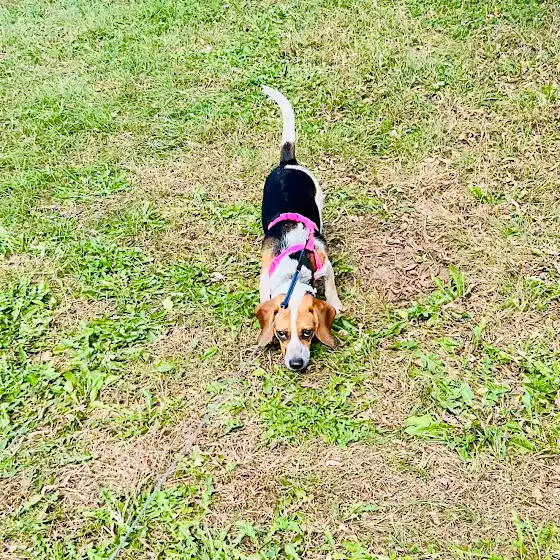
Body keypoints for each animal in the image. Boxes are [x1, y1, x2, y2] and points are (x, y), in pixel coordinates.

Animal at [255, 86, 343, 371]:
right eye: (281, 334)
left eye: (308, 332)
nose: (296, 364)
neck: (293, 272)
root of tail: (287, 163)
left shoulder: (325, 265)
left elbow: (331, 286)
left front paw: (336, 303)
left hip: (319, 195)